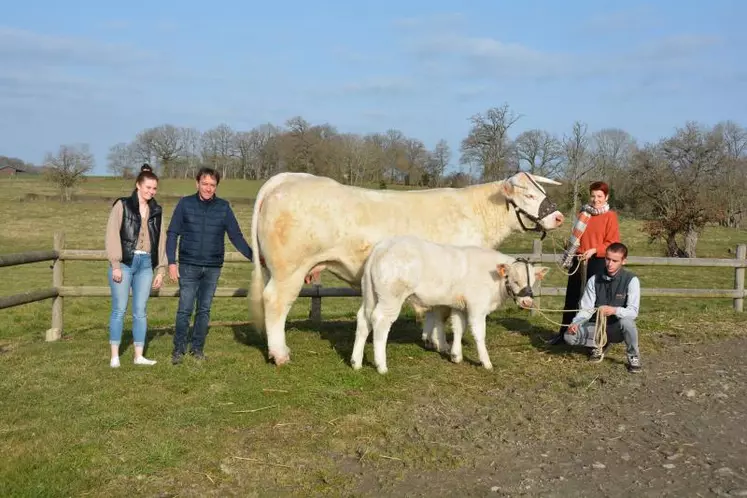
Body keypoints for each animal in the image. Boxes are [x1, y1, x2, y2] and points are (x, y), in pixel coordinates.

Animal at [350, 236, 548, 374]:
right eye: (515, 280)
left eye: (533, 281)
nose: (527, 301)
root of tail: (382, 247)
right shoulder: (477, 307)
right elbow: (478, 333)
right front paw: (486, 362)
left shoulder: (460, 306)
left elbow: (459, 328)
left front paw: (455, 355)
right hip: (391, 297)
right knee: (380, 321)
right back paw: (381, 365)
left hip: (370, 294)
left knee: (363, 319)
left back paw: (356, 362)